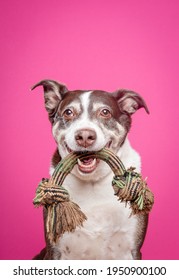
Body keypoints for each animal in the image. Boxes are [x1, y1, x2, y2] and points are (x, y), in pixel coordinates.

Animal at [31, 79, 150, 260]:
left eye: (105, 112)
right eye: (68, 112)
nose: (85, 136)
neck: (93, 183)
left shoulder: (131, 250)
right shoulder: (55, 251)